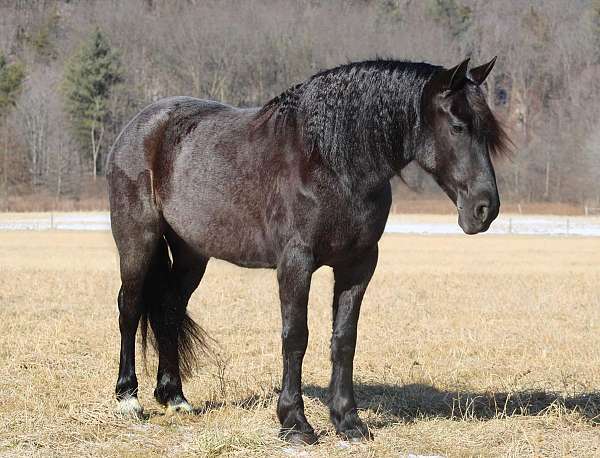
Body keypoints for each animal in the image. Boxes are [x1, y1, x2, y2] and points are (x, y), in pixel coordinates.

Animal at [106, 56, 506, 444]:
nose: (485, 209)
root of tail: (138, 126)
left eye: (487, 130)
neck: (329, 163)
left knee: (169, 310)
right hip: (138, 239)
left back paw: (175, 397)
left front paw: (348, 421)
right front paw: (295, 423)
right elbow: (296, 336)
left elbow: (344, 339)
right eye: (457, 126)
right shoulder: (295, 263)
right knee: (130, 307)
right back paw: (128, 399)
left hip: (191, 252)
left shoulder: (359, 265)